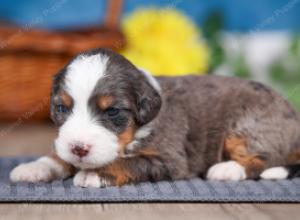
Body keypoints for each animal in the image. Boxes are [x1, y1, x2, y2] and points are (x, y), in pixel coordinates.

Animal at [9, 48, 300, 187]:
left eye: (112, 112)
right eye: (62, 108)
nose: (79, 148)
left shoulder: (170, 159)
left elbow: (130, 162)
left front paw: (94, 174)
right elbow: (59, 156)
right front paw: (34, 167)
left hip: (247, 126)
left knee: (265, 159)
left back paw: (227, 169)